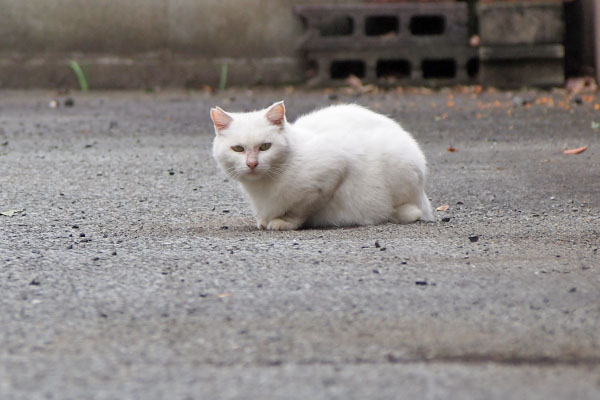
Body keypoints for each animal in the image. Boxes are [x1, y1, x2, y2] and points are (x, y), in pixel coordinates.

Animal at [211, 101, 432, 230]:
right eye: (238, 149)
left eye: (265, 146)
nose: (252, 164)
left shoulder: (333, 169)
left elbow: (300, 209)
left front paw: (284, 222)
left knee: (412, 211)